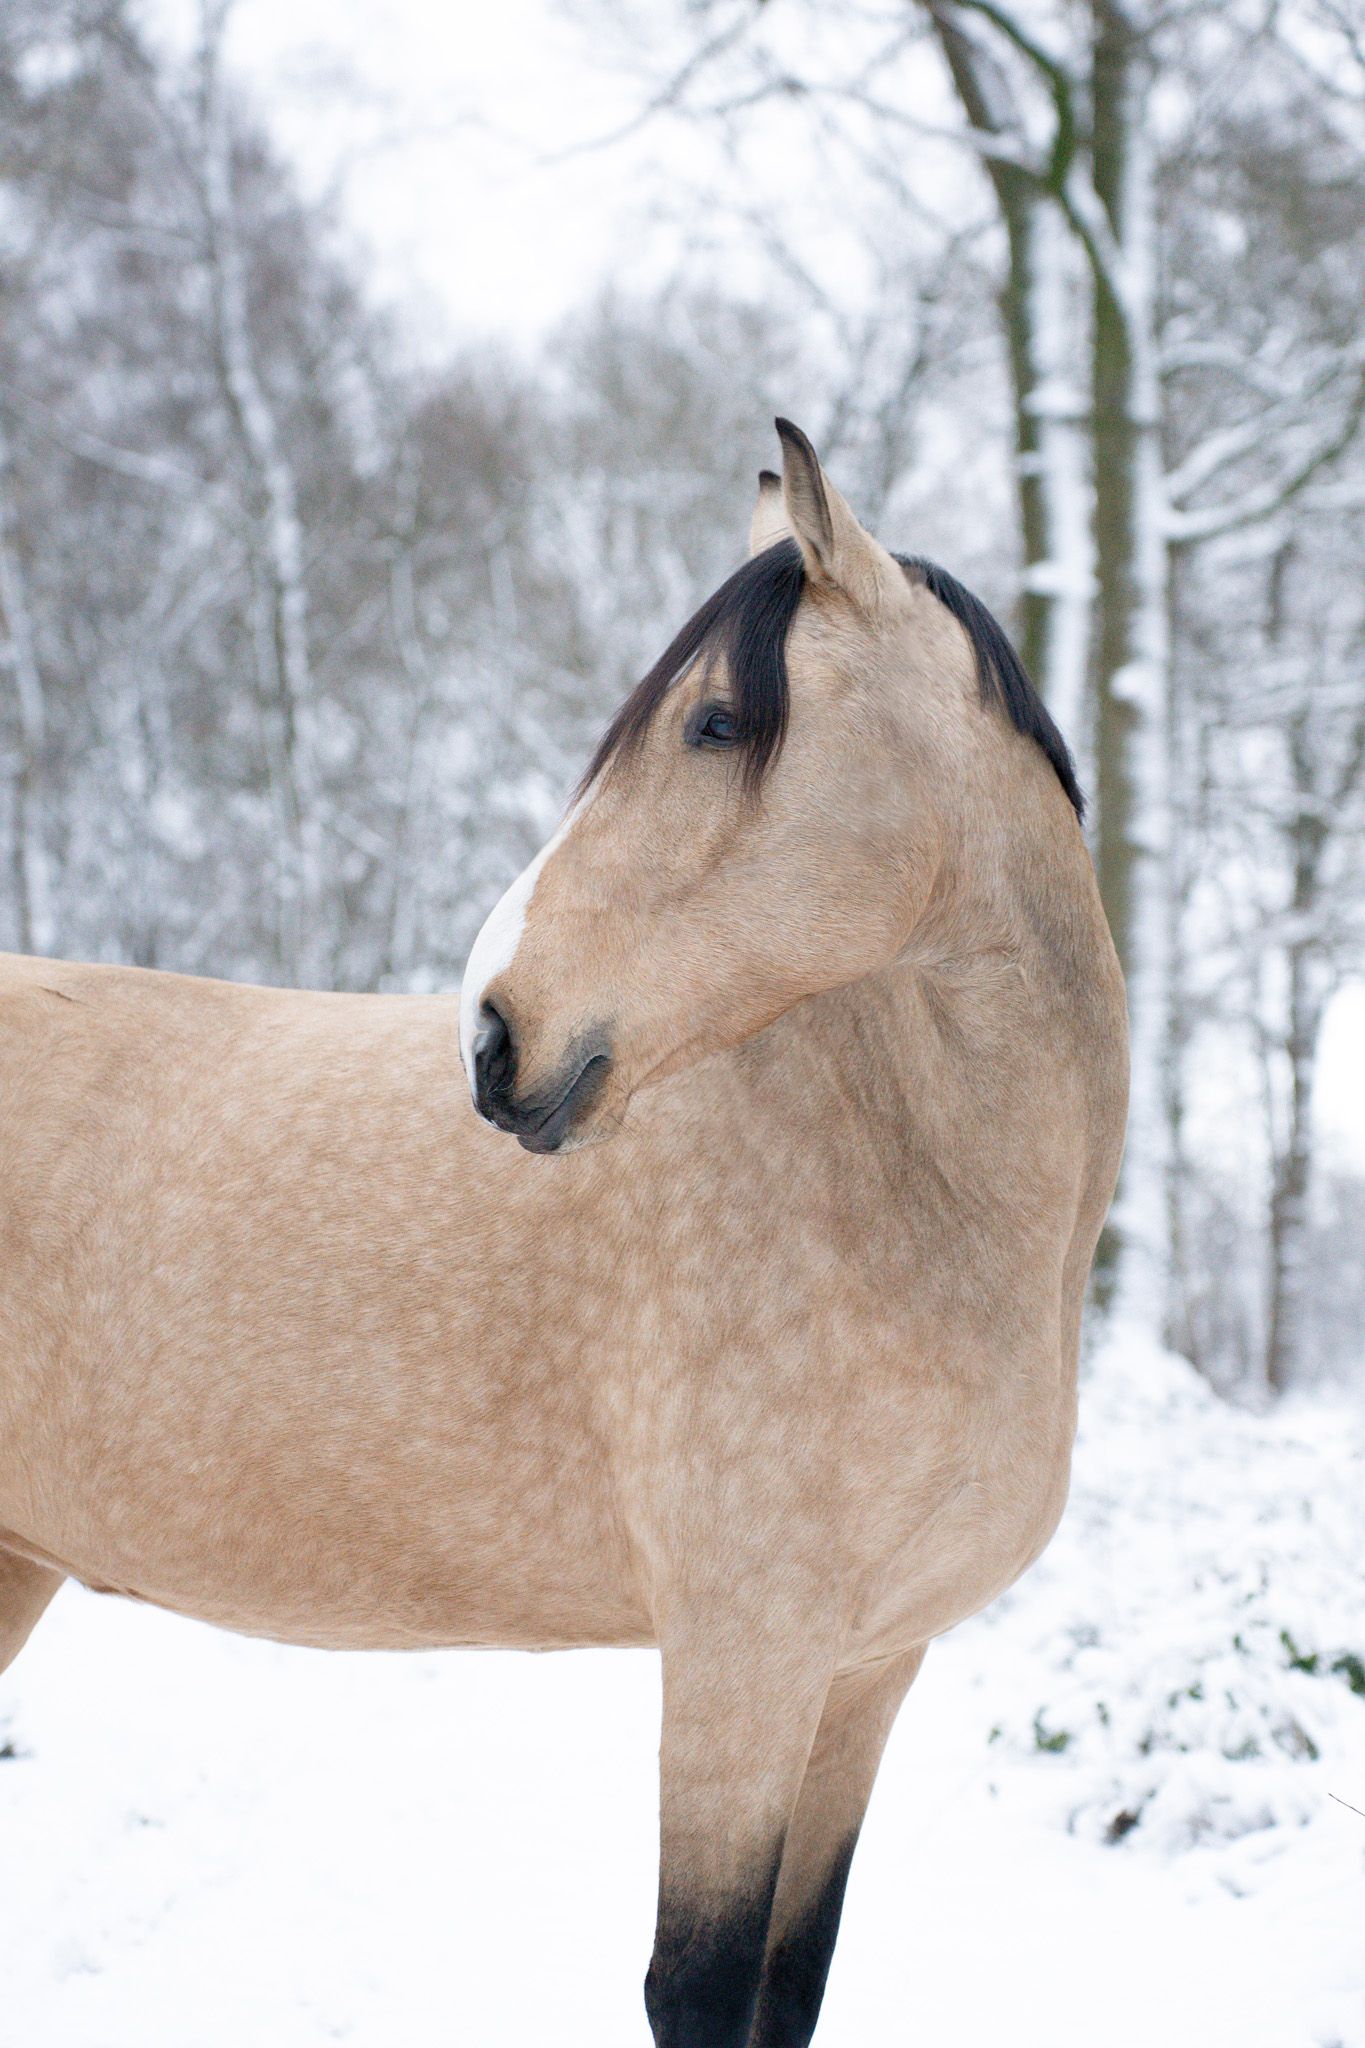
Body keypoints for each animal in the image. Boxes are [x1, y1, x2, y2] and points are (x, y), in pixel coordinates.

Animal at [0, 420, 1127, 2046]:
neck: (906, 1198)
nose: (495, 1038)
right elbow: (698, 1986)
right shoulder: (742, 1664)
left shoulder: (862, 1673)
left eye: (717, 723)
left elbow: (787, 1986)